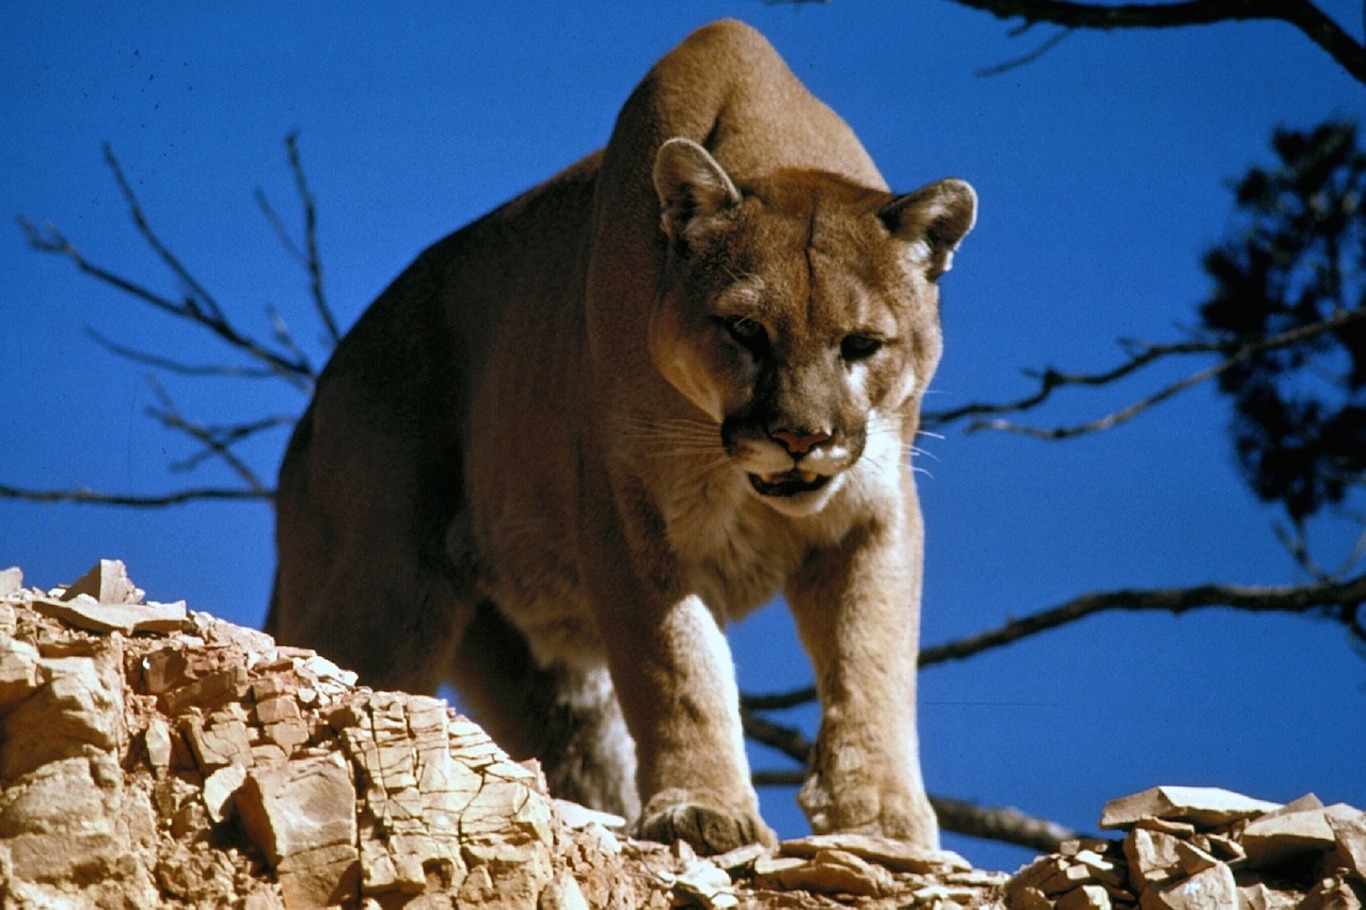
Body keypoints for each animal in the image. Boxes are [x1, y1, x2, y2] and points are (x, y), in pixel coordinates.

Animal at [268, 19, 976, 854]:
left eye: (863, 344)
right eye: (746, 331)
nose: (801, 437)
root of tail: (318, 399)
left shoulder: (874, 510)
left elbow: (873, 661)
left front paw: (882, 820)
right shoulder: (627, 512)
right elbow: (677, 666)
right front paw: (705, 810)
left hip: (539, 670)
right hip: (382, 591)